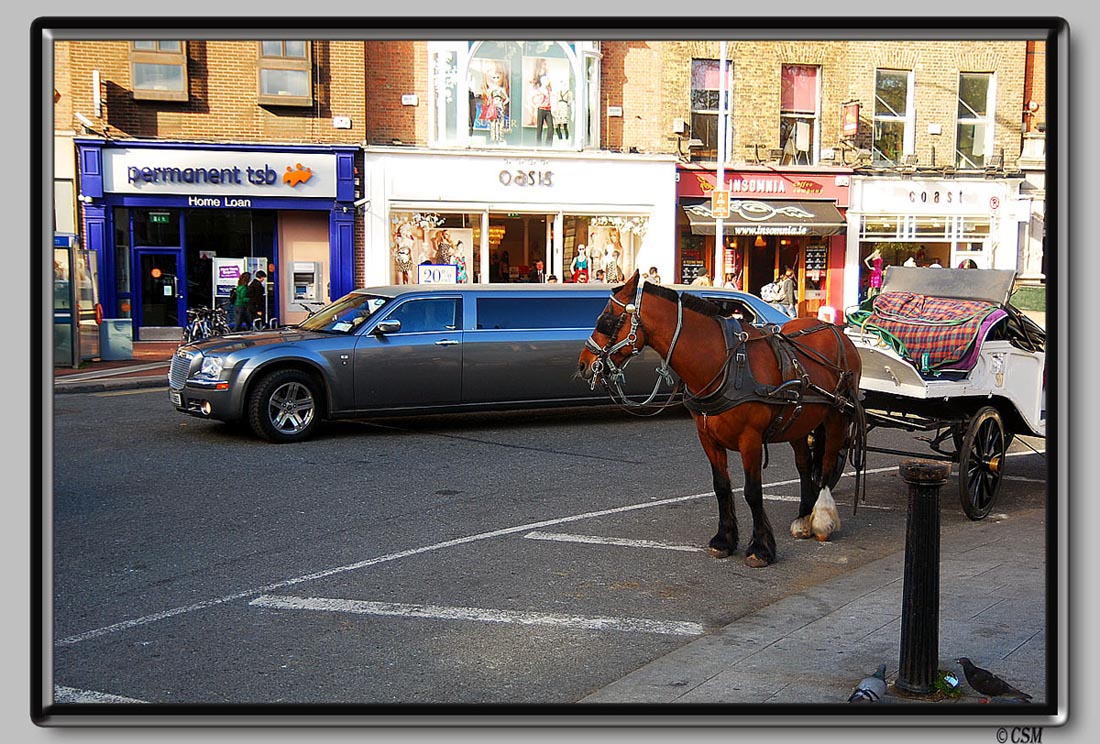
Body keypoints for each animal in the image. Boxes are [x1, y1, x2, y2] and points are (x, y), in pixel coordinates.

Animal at [576, 270, 866, 567]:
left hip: (837, 415)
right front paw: (724, 540)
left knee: (828, 462)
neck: (723, 361)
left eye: (607, 321)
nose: (584, 365)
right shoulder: (707, 437)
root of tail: (836, 331)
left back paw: (821, 518)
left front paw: (760, 548)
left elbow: (752, 491)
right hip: (798, 419)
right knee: (805, 464)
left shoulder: (750, 439)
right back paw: (804, 516)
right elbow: (721, 487)